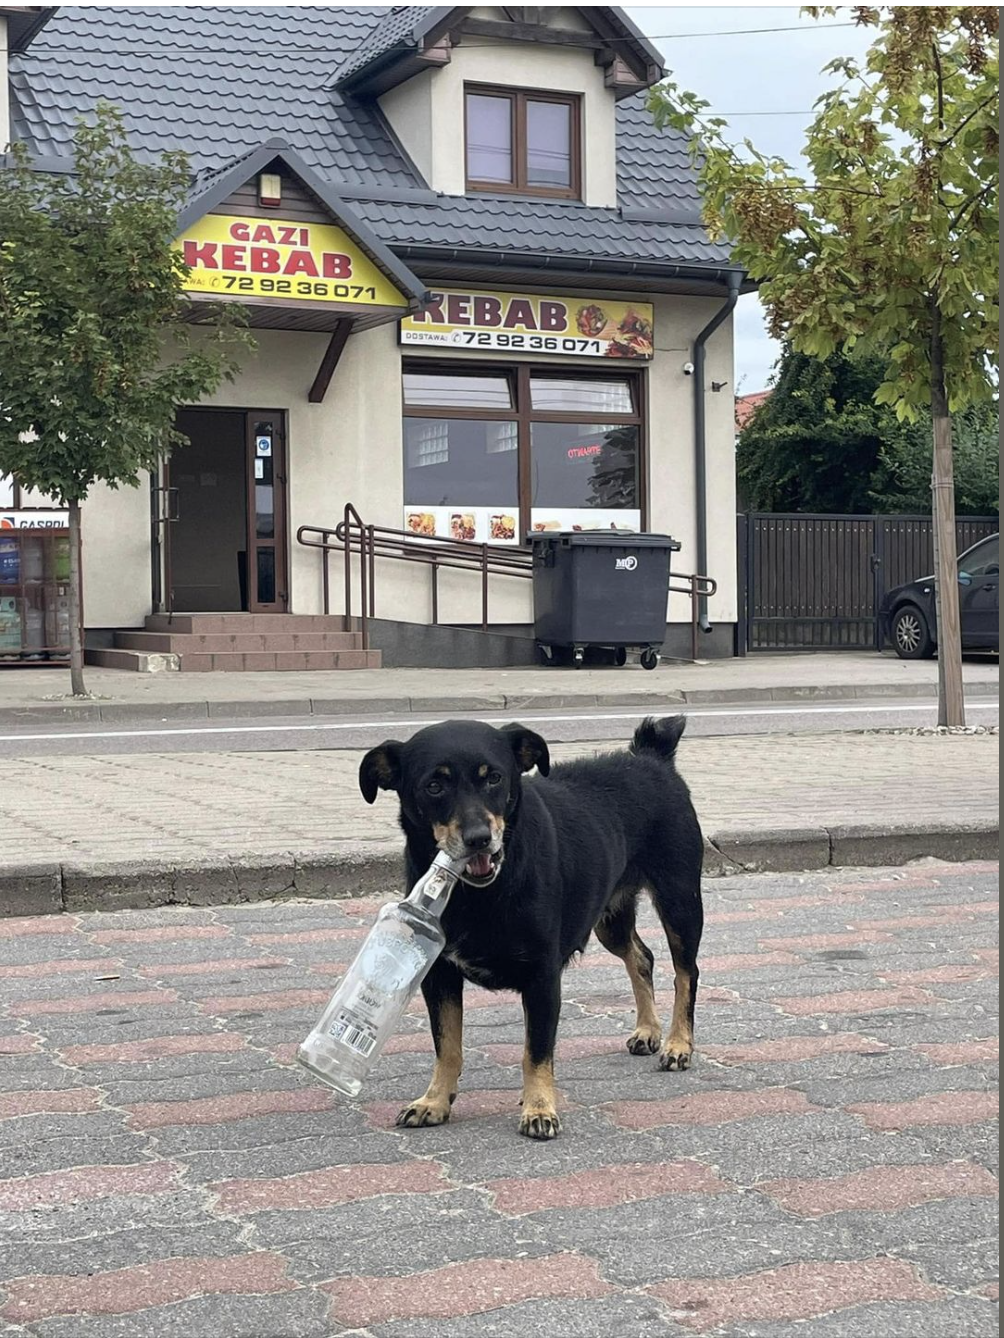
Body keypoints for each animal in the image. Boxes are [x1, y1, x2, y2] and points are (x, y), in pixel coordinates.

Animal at [361, 722, 706, 1139]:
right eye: (434, 786)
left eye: (494, 777)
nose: (479, 838)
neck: (479, 892)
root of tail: (654, 756)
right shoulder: (439, 976)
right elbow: (447, 1046)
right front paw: (435, 1101)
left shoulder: (542, 977)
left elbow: (536, 1052)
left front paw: (539, 1108)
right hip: (610, 917)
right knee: (642, 957)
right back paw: (647, 1030)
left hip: (680, 901)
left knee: (686, 973)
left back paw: (678, 1044)